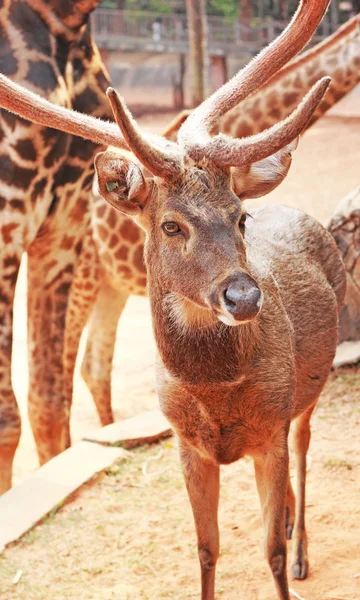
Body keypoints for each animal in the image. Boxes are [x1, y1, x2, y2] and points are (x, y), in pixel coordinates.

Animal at [68, 14, 360, 426]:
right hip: (75, 275)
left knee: (92, 364)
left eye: (242, 218)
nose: (245, 298)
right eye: (170, 225)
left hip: (111, 287)